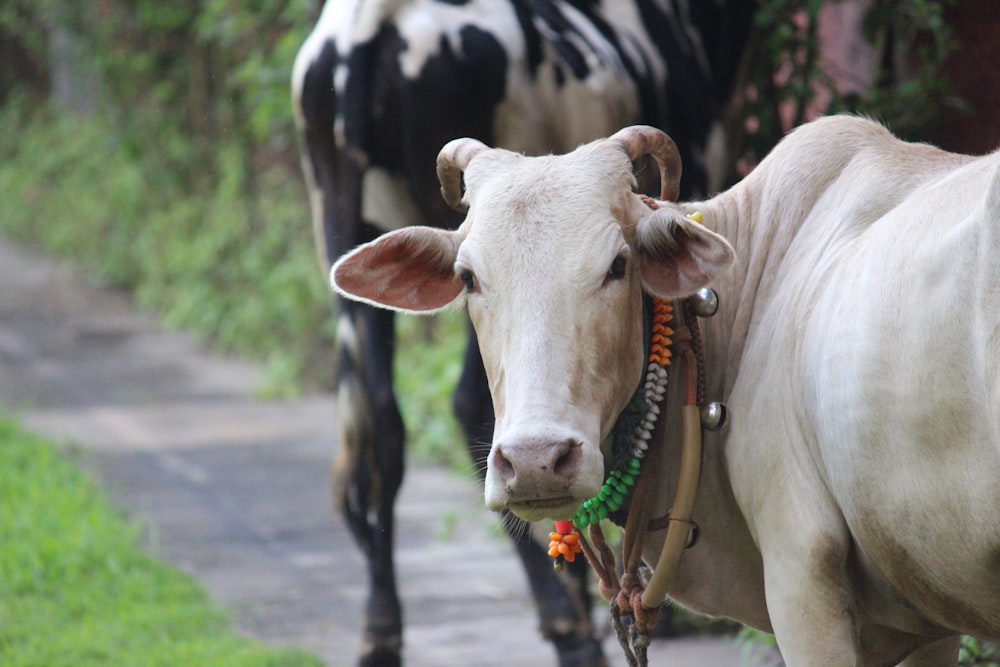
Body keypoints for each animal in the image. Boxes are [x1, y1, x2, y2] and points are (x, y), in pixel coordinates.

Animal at [290, 2, 752, 664]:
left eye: (617, 265)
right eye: (469, 277)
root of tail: (372, 24)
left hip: (341, 222)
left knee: (382, 422)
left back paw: (382, 627)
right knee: (467, 407)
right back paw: (568, 621)